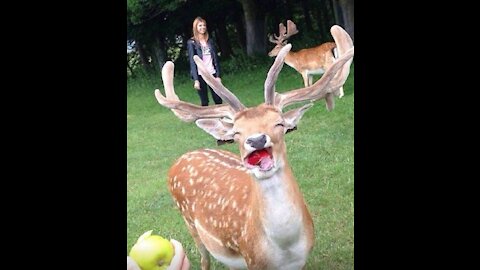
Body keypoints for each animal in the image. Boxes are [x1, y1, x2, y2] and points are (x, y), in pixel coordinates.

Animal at [156, 25, 354, 270]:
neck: (285, 249)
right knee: (204, 259)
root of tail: (181, 159)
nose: (257, 140)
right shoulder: (252, 259)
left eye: (280, 123)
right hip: (189, 222)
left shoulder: (300, 261)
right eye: (236, 133)